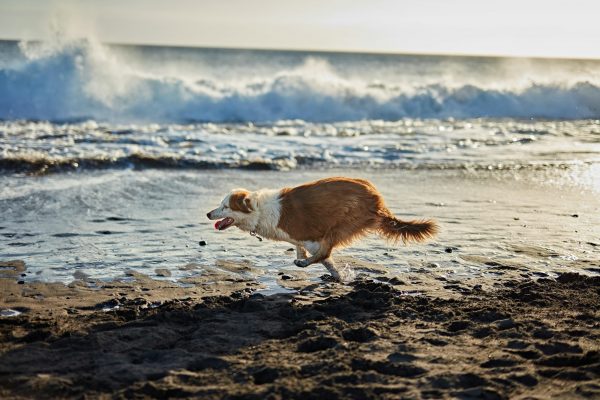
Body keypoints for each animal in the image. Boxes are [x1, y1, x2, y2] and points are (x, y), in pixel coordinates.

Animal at [206, 177, 436, 280]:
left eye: (225, 207)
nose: (208, 214)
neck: (259, 210)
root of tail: (377, 198)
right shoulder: (299, 239)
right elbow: (311, 254)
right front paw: (339, 277)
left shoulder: (312, 238)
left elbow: (323, 255)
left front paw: (332, 273)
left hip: (343, 223)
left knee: (325, 251)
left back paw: (304, 264)